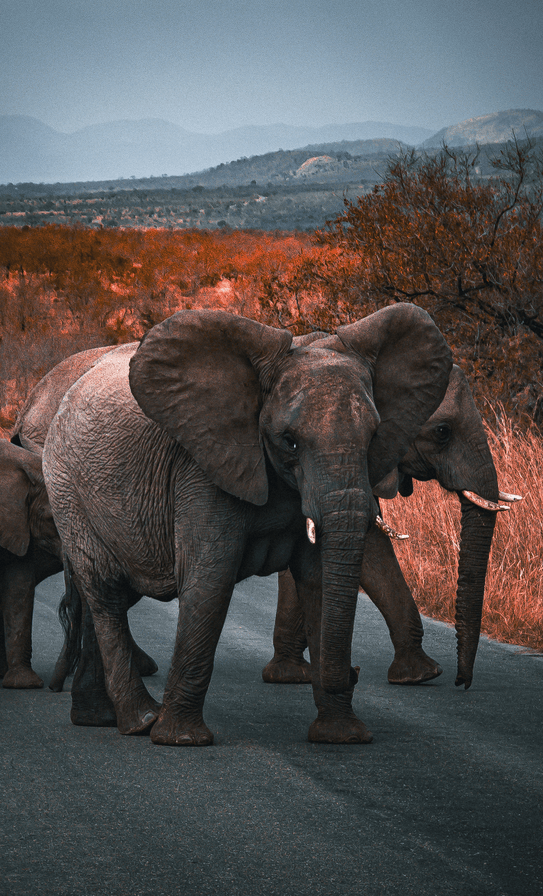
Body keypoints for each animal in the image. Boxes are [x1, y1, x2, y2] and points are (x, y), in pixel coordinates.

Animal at [41, 304, 452, 745]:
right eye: (289, 440)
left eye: (375, 436)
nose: (355, 674)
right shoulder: (202, 467)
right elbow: (211, 577)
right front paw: (182, 740)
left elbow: (320, 579)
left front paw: (341, 737)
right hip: (66, 488)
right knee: (106, 592)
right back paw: (141, 721)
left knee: (100, 594)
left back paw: (98, 717)